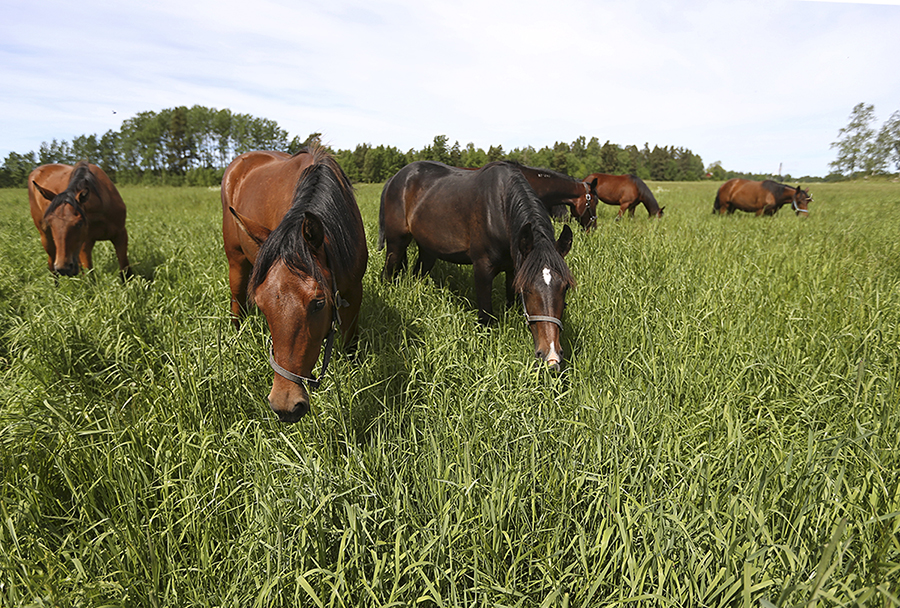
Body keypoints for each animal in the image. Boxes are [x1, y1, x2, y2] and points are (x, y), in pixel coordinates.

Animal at [221, 147, 366, 422]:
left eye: (319, 303)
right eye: (262, 305)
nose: (285, 406)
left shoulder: (354, 291)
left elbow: (349, 342)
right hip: (236, 262)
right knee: (236, 304)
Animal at [376, 160, 572, 370]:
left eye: (565, 287)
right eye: (527, 289)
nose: (551, 357)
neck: (501, 208)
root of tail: (395, 178)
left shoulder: (514, 269)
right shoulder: (482, 269)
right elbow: (485, 316)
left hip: (427, 249)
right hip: (396, 243)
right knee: (388, 273)